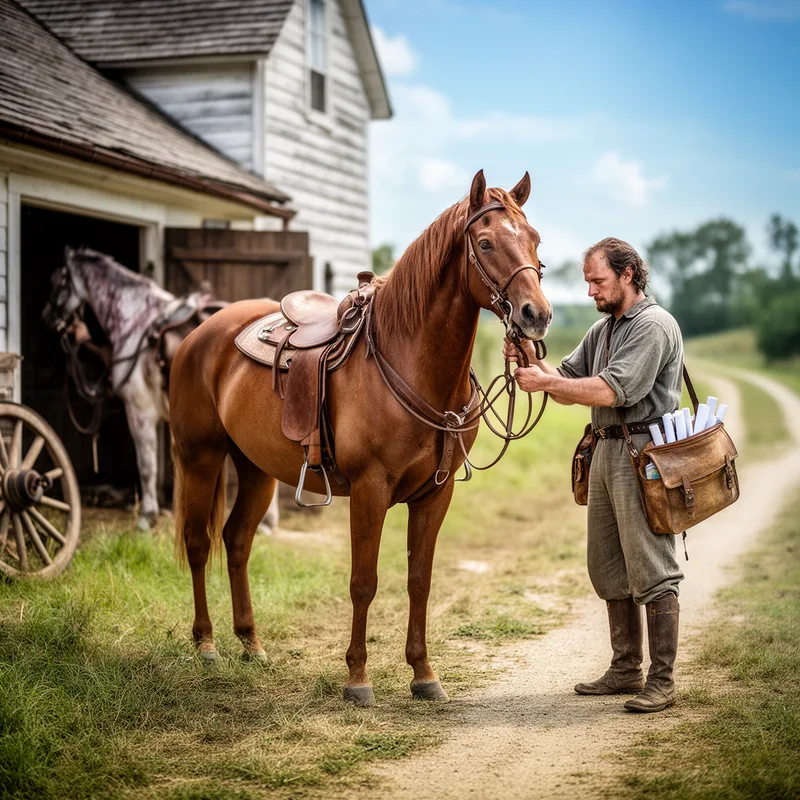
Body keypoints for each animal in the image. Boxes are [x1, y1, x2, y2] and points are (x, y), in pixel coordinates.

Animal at [40, 247, 272, 531]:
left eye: (58, 281)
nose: (47, 317)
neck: (136, 325)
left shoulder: (140, 412)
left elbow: (147, 465)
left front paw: (147, 516)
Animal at [169, 170, 552, 705]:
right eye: (486, 242)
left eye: (535, 239)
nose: (536, 315)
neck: (409, 362)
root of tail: (199, 334)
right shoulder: (370, 490)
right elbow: (364, 582)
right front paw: (357, 679)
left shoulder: (436, 493)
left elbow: (419, 580)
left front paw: (424, 674)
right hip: (200, 458)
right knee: (199, 542)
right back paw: (206, 645)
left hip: (256, 469)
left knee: (237, 541)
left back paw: (251, 645)